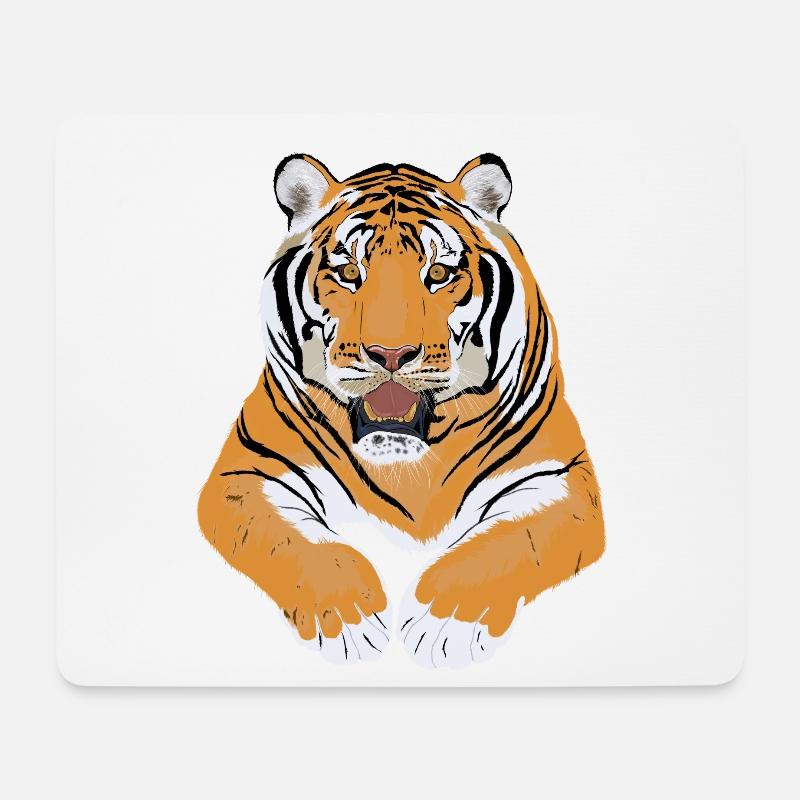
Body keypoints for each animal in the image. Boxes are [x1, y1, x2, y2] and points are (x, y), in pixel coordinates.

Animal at [198, 153, 604, 668]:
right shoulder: (250, 472)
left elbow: (509, 541)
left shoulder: (557, 477)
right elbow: (296, 542)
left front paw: (444, 624)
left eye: (439, 274)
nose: (390, 354)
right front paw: (347, 618)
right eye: (349, 274)